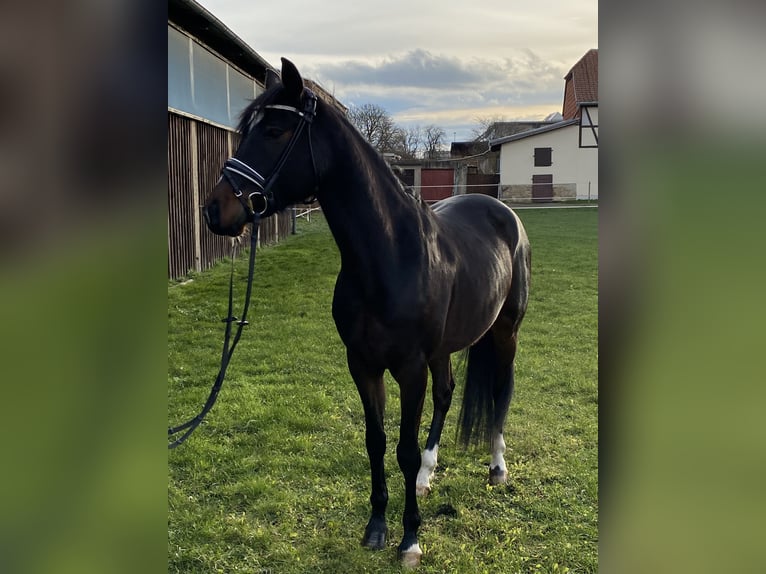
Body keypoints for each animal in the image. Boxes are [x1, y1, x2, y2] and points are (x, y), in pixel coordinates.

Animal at [201, 56, 532, 568]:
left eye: (274, 131)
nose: (215, 211)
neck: (389, 256)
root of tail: (503, 213)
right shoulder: (363, 365)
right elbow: (376, 444)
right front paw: (377, 526)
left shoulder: (410, 369)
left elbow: (404, 450)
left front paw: (410, 539)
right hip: (445, 349)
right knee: (447, 394)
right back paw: (429, 476)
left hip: (505, 332)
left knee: (498, 393)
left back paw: (497, 467)